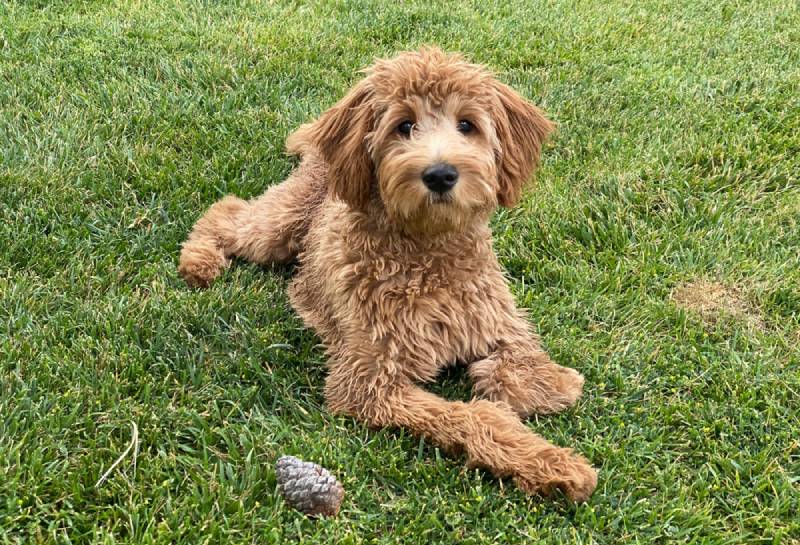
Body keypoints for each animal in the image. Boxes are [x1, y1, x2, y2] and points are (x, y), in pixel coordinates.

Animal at [178, 47, 596, 502]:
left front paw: (550, 386)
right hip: (280, 225)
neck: (428, 255)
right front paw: (554, 463)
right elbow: (470, 416)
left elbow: (520, 366)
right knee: (228, 211)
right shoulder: (368, 382)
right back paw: (198, 261)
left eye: (467, 124)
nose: (440, 174)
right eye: (404, 126)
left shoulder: (499, 321)